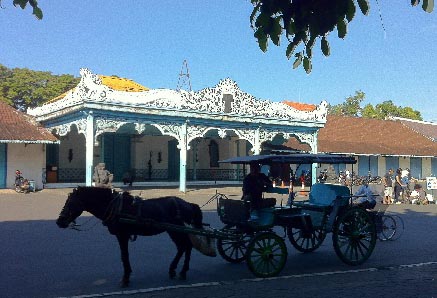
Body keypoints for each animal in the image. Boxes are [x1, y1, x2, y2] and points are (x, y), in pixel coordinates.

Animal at [55, 187, 204, 288]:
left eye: (71, 202)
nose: (59, 221)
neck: (114, 206)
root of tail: (188, 204)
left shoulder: (122, 235)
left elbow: (124, 256)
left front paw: (125, 278)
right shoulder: (123, 236)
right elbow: (124, 256)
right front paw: (127, 276)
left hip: (178, 231)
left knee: (187, 246)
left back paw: (183, 272)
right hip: (172, 231)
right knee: (182, 247)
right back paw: (173, 270)